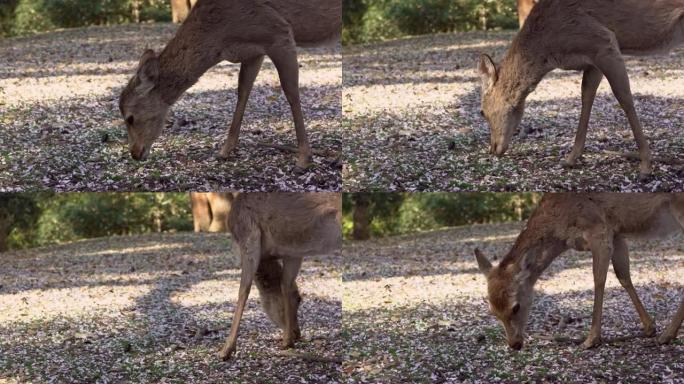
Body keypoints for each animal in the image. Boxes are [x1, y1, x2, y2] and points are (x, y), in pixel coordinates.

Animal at [119, 0, 342, 171]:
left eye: (130, 118)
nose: (135, 153)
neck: (222, 37)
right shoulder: (253, 52)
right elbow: (243, 91)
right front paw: (225, 151)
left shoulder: (279, 33)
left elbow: (291, 92)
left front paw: (304, 159)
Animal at [219, 194, 342, 362]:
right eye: (300, 298)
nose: (297, 333)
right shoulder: (293, 252)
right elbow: (286, 284)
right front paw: (287, 341)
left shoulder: (248, 233)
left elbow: (243, 289)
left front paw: (226, 350)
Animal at [476, 0, 684, 181]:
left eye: (482, 112)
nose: (493, 148)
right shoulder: (592, 61)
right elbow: (586, 96)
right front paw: (570, 159)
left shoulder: (604, 42)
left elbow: (624, 97)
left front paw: (646, 167)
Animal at [476, 194, 684, 350]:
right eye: (493, 311)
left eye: (516, 307)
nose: (514, 344)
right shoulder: (616, 233)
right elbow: (623, 276)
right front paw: (649, 327)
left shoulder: (599, 231)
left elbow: (599, 279)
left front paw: (591, 339)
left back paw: (668, 334)